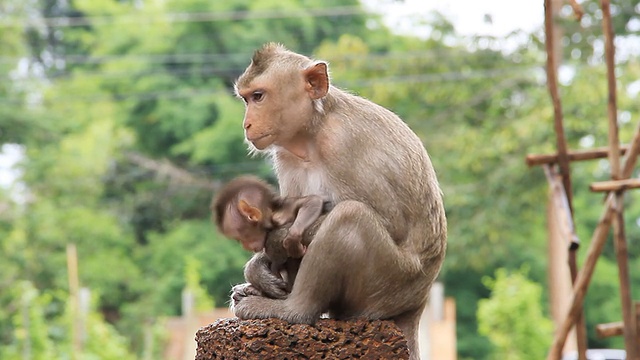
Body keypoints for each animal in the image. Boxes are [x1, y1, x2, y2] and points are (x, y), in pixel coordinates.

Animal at [230, 43, 444, 360]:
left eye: (258, 96)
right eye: (246, 98)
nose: (247, 124)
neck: (313, 132)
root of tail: (416, 304)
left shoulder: (345, 143)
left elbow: (392, 222)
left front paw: (275, 243)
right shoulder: (286, 157)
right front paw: (258, 270)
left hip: (387, 284)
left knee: (349, 217)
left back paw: (292, 310)